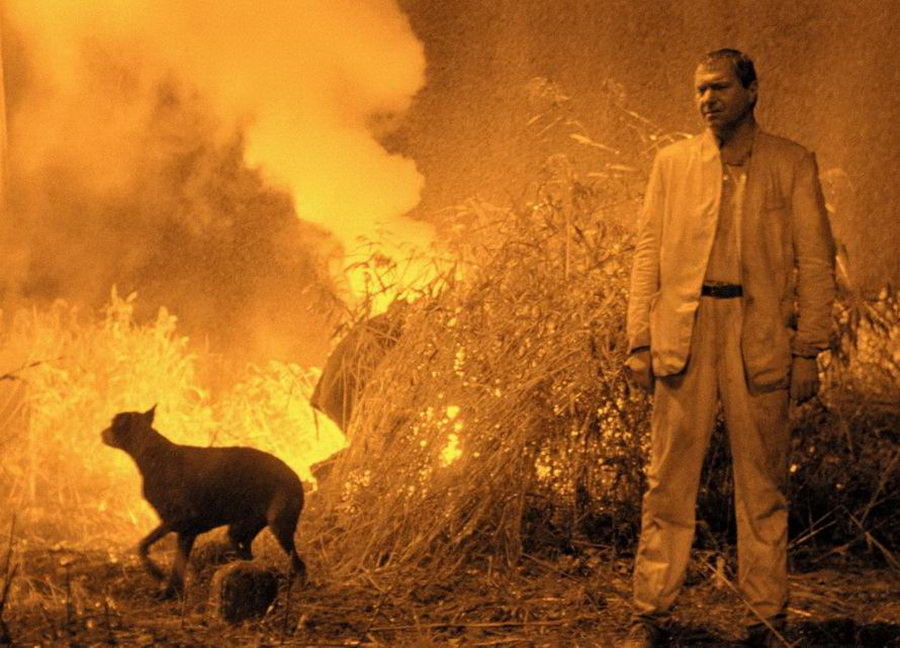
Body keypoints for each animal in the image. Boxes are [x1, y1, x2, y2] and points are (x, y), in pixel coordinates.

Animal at [101, 406, 306, 598]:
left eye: (114, 423)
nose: (101, 432)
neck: (154, 456)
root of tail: (296, 477)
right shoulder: (183, 531)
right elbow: (172, 565)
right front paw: (169, 591)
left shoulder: (180, 522)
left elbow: (148, 549)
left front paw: (159, 576)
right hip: (238, 533)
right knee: (255, 559)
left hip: (278, 526)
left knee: (299, 564)